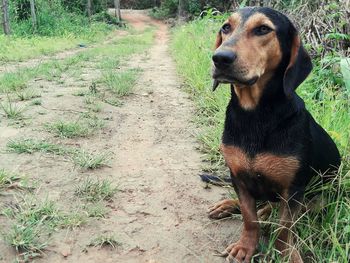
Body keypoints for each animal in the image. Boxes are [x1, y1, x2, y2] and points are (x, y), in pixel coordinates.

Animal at [209, 6, 340, 263]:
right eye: (226, 27)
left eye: (263, 29)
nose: (220, 57)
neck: (255, 115)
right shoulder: (238, 177)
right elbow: (249, 218)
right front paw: (246, 247)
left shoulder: (293, 189)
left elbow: (284, 227)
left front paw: (287, 254)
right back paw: (228, 205)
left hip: (319, 196)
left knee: (275, 209)